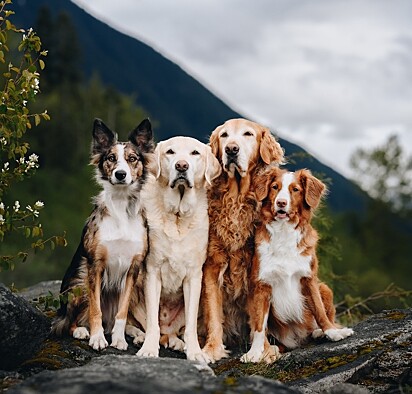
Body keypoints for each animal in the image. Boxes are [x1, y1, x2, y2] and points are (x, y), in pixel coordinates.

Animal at [241, 166, 354, 364]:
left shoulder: (308, 279)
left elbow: (319, 310)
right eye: (275, 187)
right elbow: (259, 326)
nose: (281, 203)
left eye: (295, 189)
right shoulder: (261, 286)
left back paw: (320, 332)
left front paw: (332, 332)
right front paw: (254, 352)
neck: (283, 231)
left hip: (324, 288)